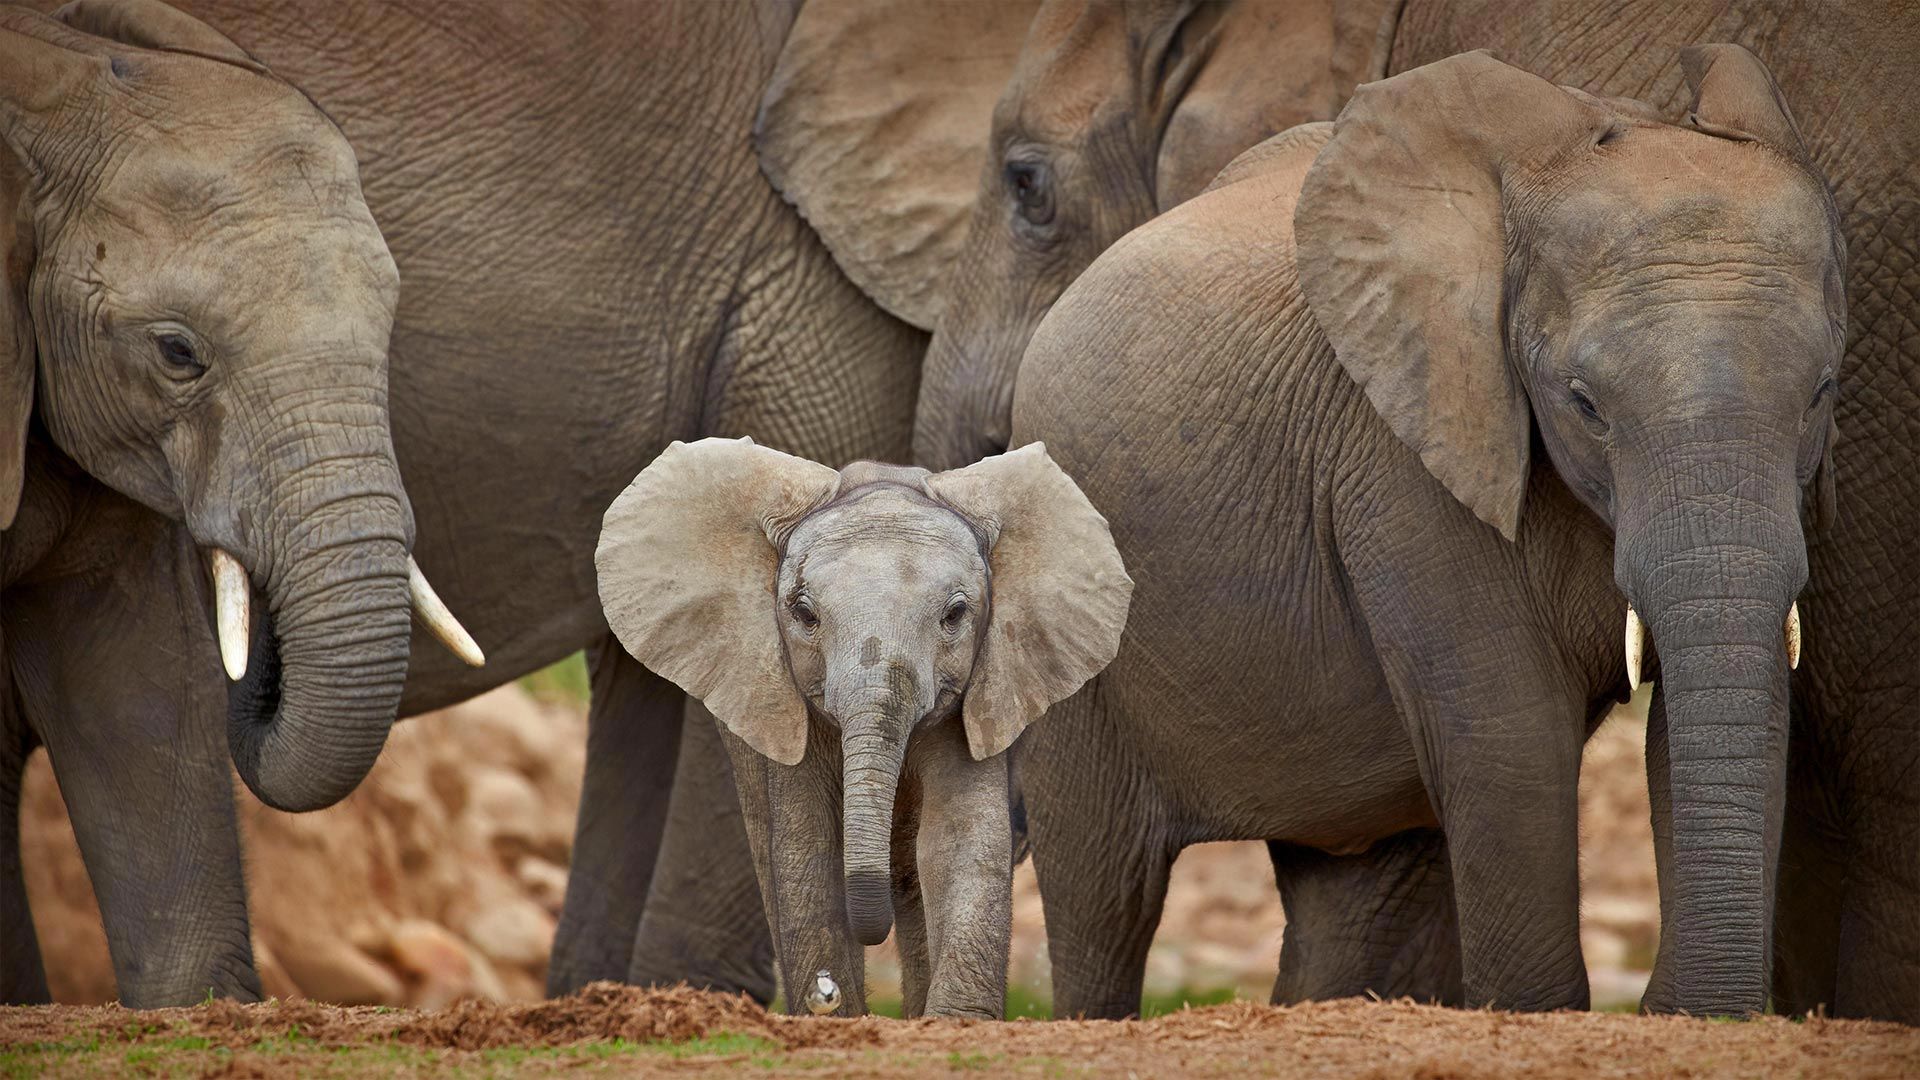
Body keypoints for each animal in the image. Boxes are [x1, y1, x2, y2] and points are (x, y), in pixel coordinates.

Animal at [595, 434, 1121, 1006]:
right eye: (804, 614)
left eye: (955, 615)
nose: (826, 993)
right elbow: (808, 850)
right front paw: (835, 1007)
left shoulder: (975, 694)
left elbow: (957, 843)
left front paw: (953, 1018)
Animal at [1013, 44, 1835, 1014]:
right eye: (1583, 403)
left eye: (1822, 393)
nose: (1668, 1010)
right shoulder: (1402, 461)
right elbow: (1510, 743)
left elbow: (1709, 712)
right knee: (1104, 894)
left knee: (1343, 894)